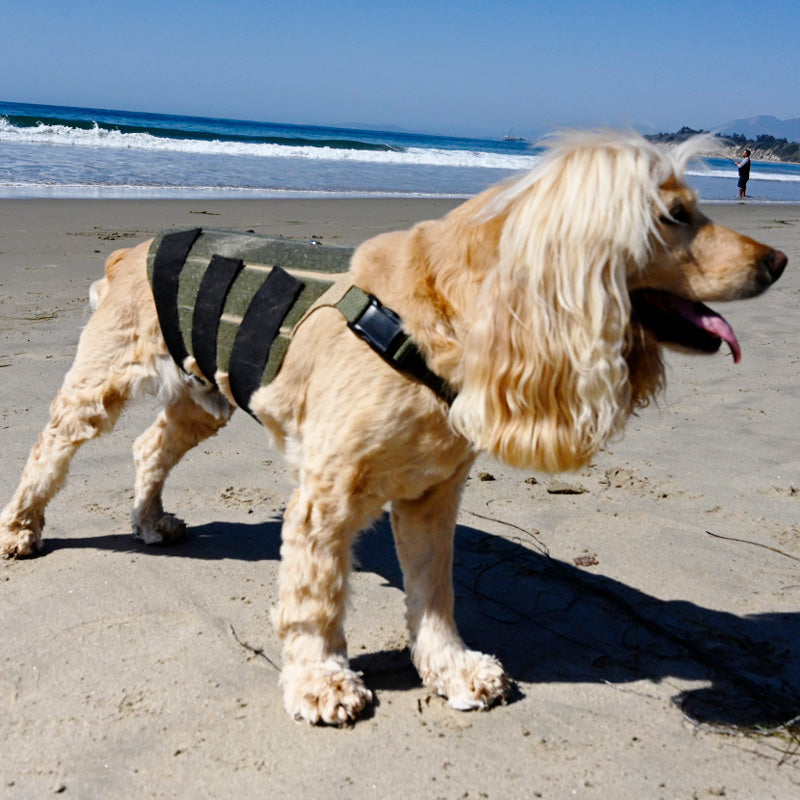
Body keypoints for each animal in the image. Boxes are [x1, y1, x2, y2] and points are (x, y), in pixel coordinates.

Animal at [0, 133, 788, 724]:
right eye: (675, 215)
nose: (778, 260)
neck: (443, 321)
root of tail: (129, 248)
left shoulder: (432, 495)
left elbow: (435, 592)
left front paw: (453, 670)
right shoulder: (326, 494)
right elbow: (315, 597)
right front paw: (320, 681)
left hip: (204, 395)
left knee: (149, 445)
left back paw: (149, 519)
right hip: (100, 383)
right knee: (48, 448)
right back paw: (21, 528)